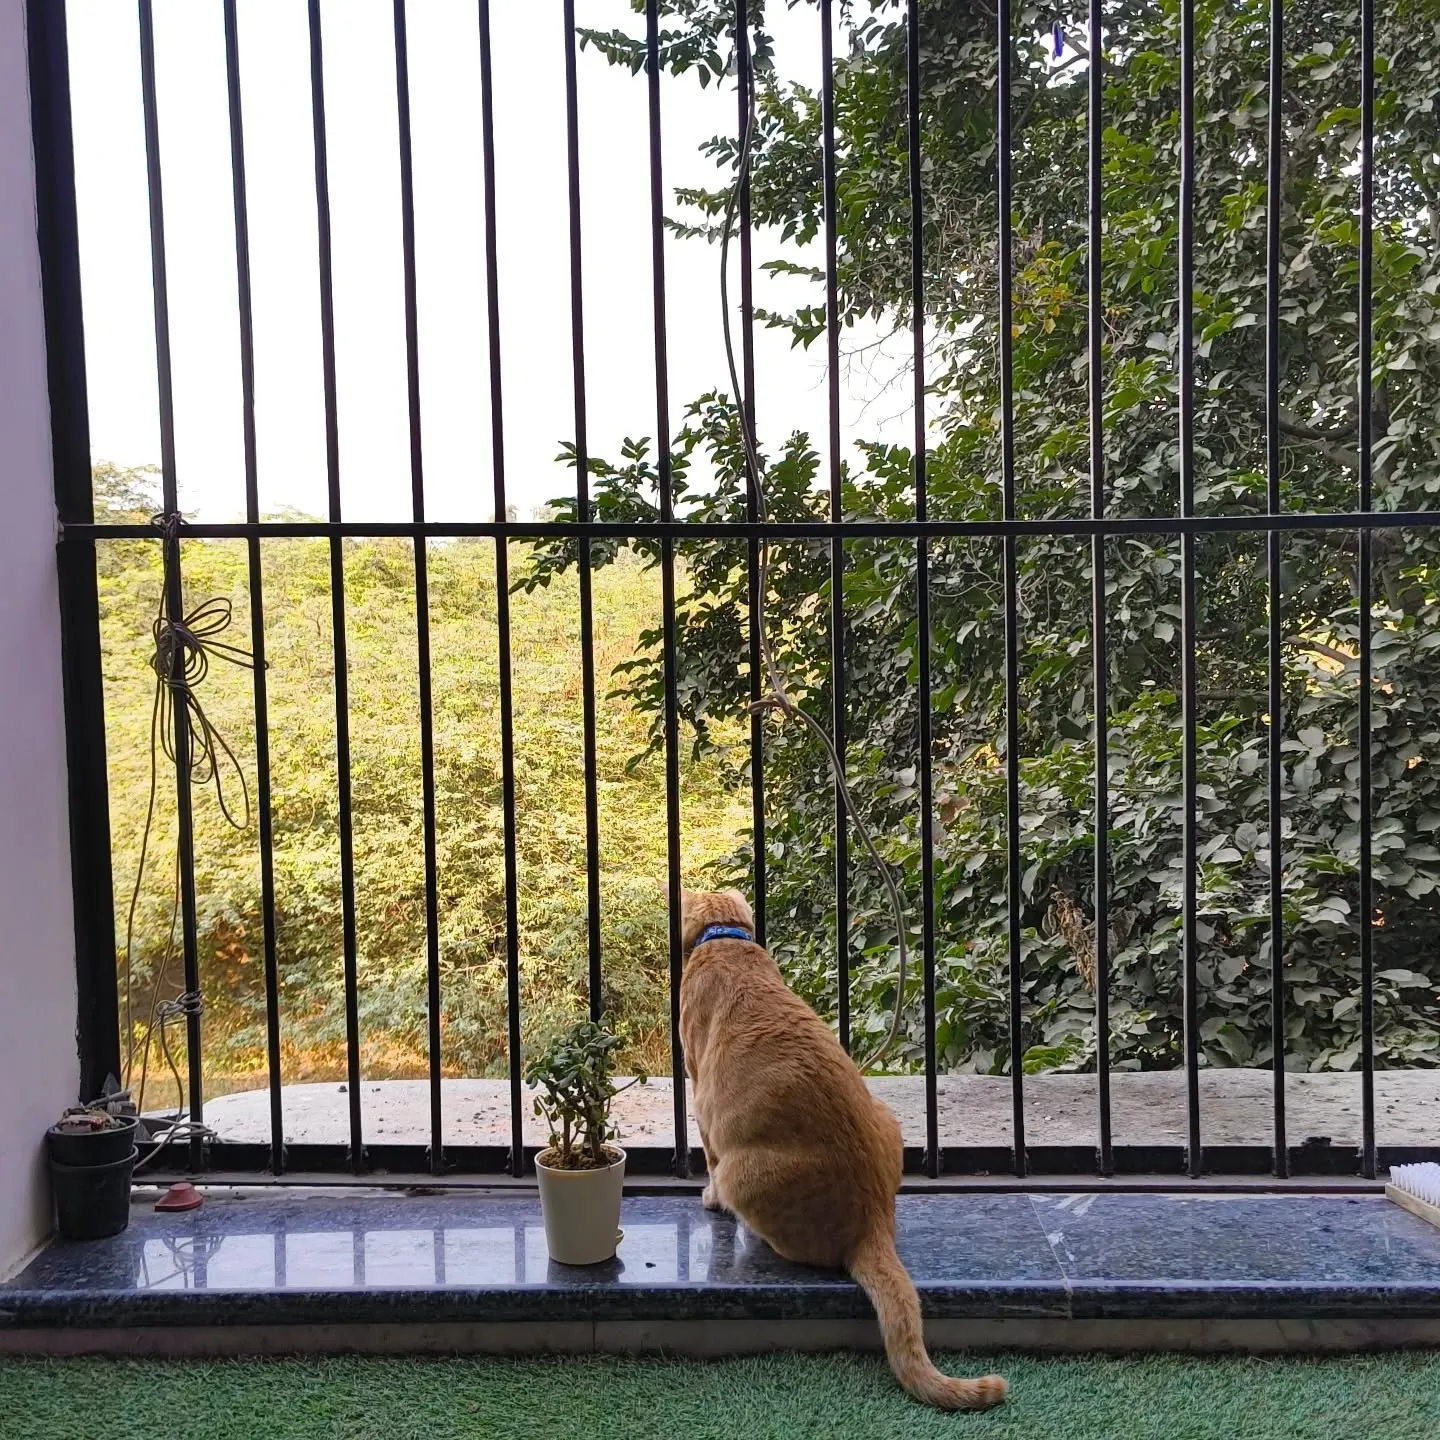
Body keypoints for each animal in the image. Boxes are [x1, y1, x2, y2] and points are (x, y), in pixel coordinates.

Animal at [678, 887, 1007, 1411]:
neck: (726, 941)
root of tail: (873, 1215)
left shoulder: (699, 1092)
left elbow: (705, 1159)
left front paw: (708, 1200)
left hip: (739, 1171)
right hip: (887, 1115)